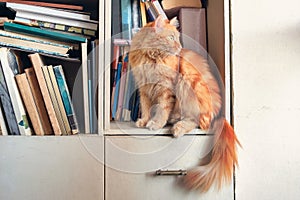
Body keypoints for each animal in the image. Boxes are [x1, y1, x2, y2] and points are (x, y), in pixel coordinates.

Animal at [129, 16, 241, 192]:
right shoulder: (144, 87)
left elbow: (162, 109)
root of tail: (220, 115)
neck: (151, 57)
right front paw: (144, 121)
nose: (180, 47)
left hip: (189, 80)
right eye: (171, 38)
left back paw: (177, 128)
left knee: (198, 122)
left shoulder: (166, 87)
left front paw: (156, 123)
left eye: (177, 38)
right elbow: (145, 107)